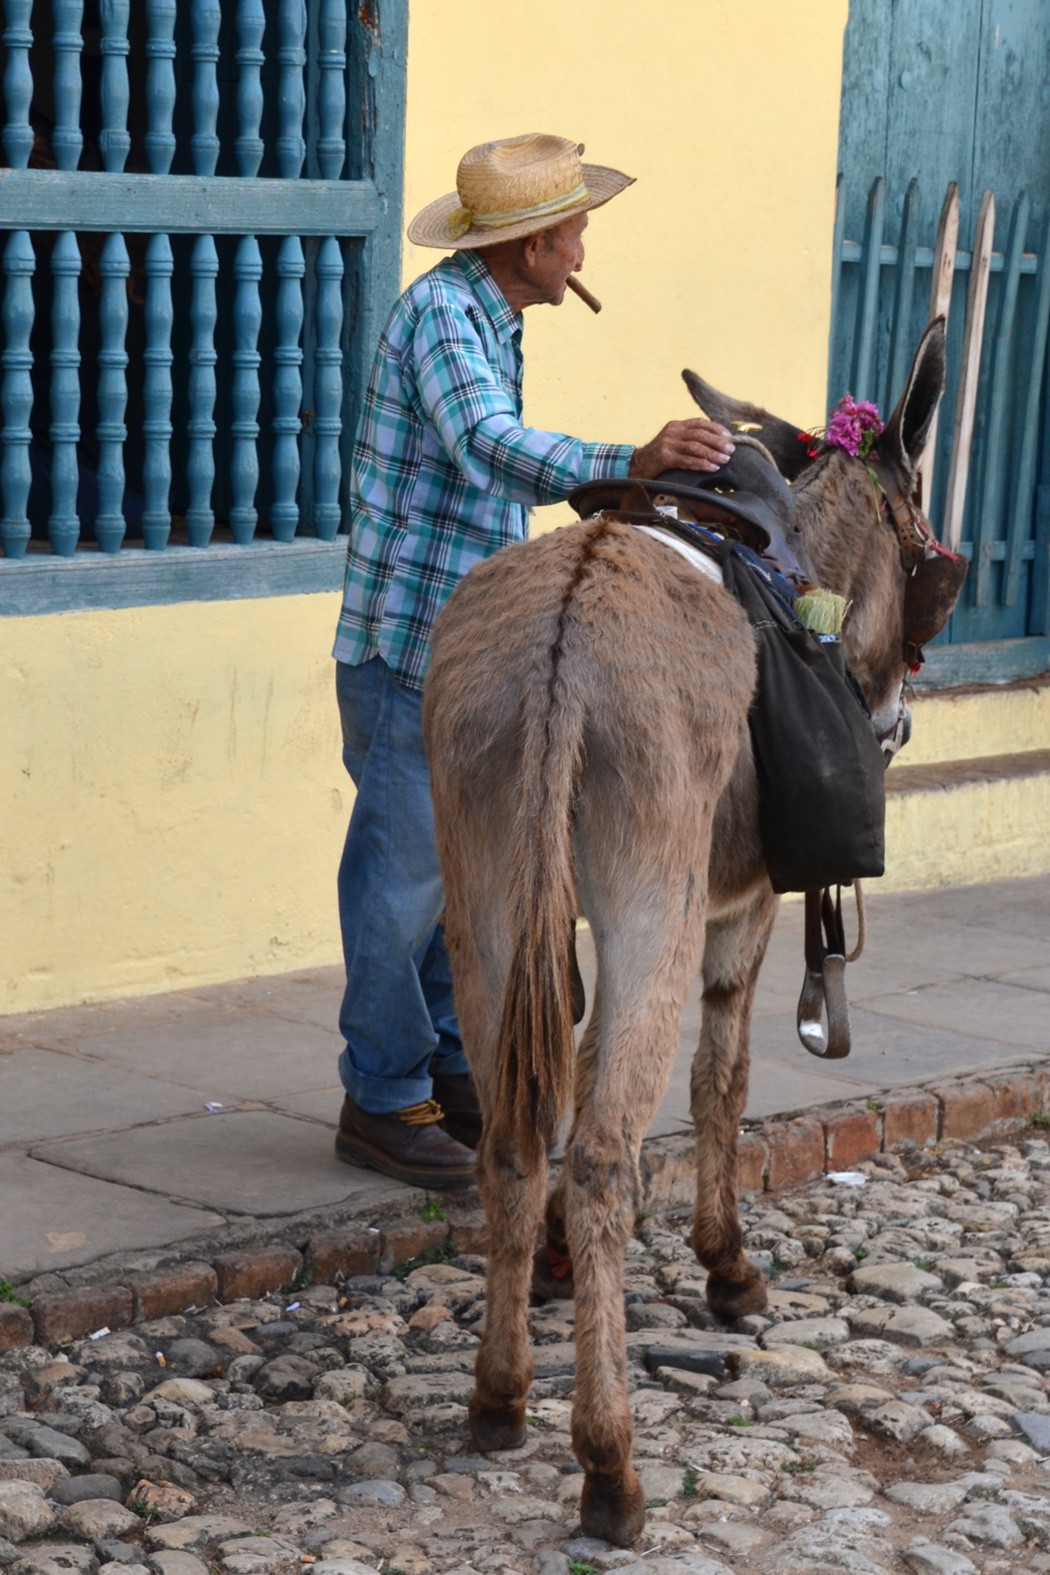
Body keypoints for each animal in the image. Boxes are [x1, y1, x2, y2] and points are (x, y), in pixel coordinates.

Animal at [422, 319, 965, 1548]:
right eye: (933, 568)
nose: (898, 720)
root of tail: (564, 633)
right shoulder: (737, 908)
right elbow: (724, 1078)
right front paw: (728, 1269)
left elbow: (574, 1070)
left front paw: (556, 1273)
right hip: (647, 903)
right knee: (605, 1155)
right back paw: (609, 1465)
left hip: (485, 899)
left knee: (518, 1140)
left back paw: (500, 1395)